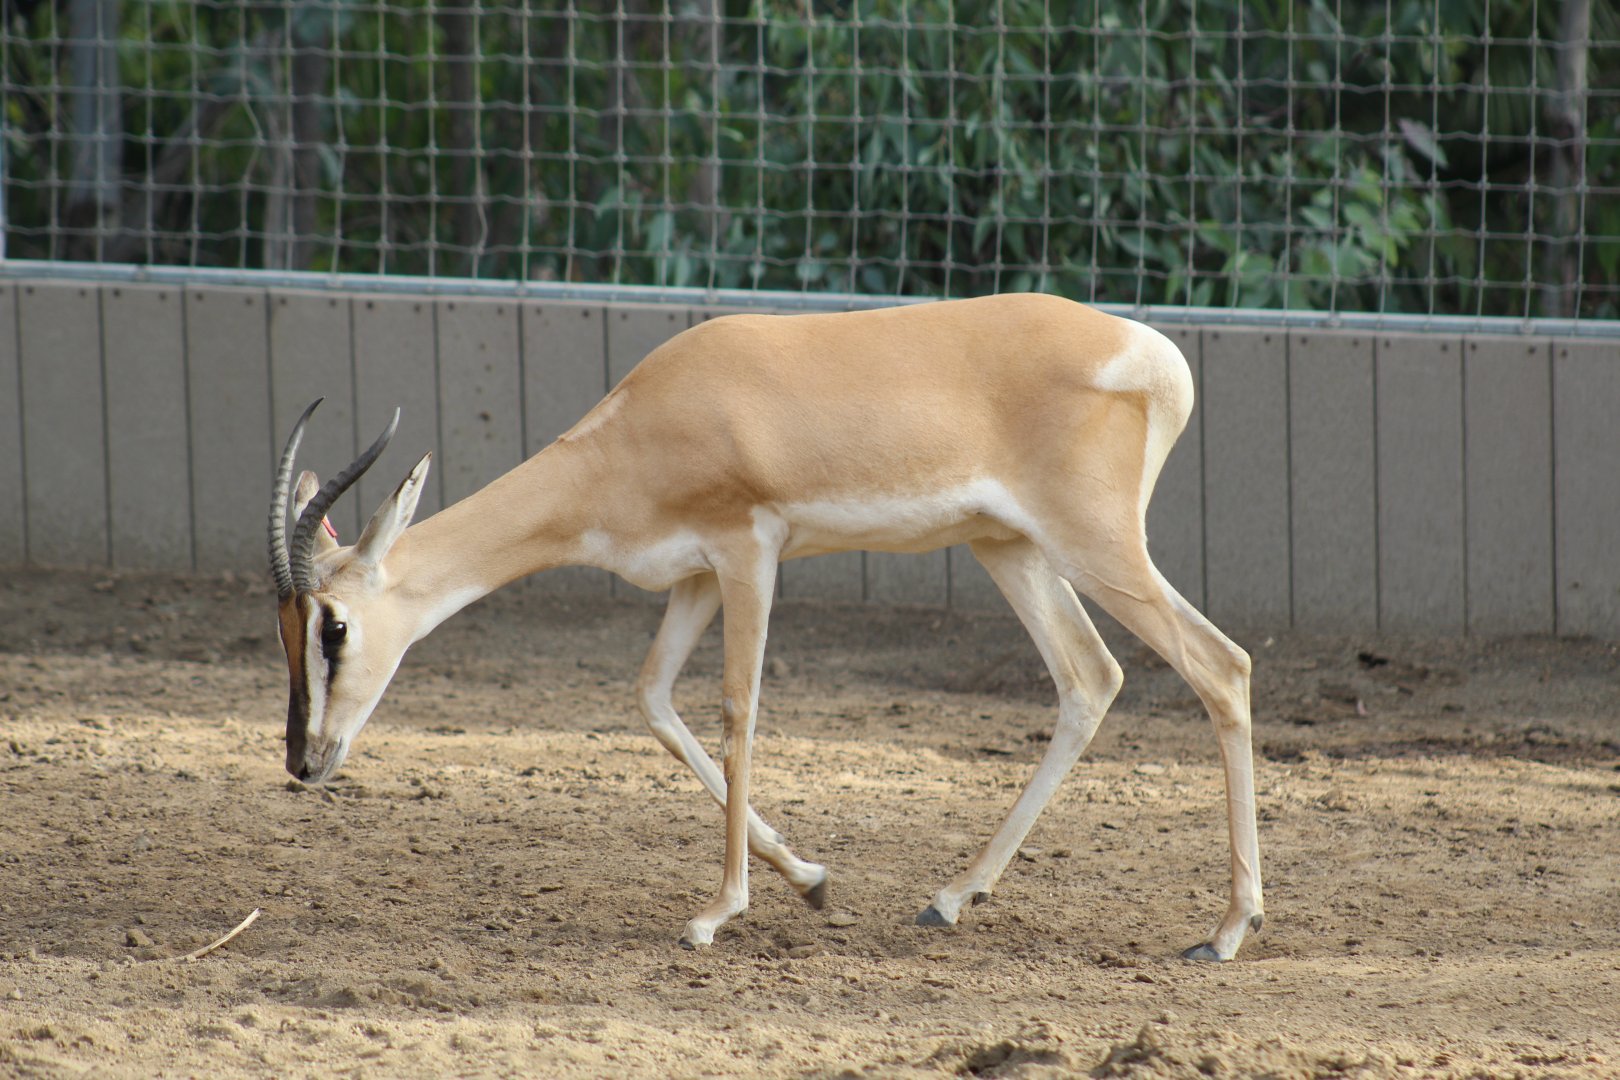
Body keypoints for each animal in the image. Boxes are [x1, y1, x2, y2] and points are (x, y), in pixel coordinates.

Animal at [268, 293, 1263, 961]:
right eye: (286, 628)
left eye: (334, 628)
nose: (304, 761)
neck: (634, 434)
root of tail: (1154, 356)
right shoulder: (693, 579)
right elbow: (653, 702)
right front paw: (812, 882)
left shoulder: (749, 552)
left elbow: (738, 710)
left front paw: (716, 913)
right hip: (1010, 547)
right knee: (1090, 677)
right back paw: (950, 898)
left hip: (1094, 546)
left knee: (1222, 665)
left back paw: (1224, 932)